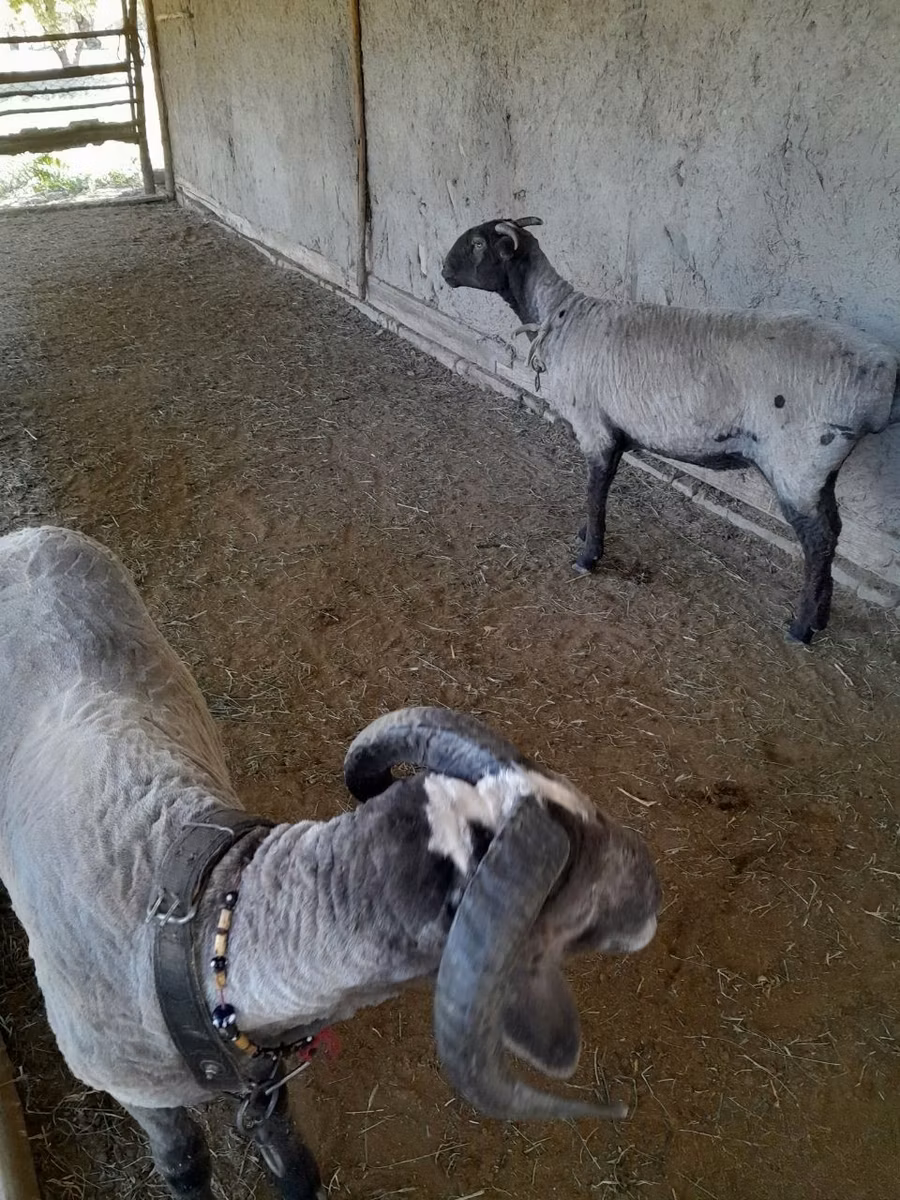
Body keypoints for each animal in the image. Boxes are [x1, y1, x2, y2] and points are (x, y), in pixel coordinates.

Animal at [0, 525, 661, 1200]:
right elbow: (183, 1162)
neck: (192, 923)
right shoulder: (137, 1093)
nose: (652, 893)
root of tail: (29, 534)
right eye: (576, 906)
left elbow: (288, 1154)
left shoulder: (263, 1080)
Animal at [441, 217, 900, 644]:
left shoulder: (594, 426)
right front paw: (586, 536)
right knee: (833, 532)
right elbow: (596, 492)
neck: (560, 316)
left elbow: (594, 491)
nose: (444, 270)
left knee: (818, 541)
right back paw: (819, 617)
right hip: (820, 467)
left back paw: (801, 627)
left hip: (798, 460)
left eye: (478, 243)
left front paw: (588, 556)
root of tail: (886, 374)